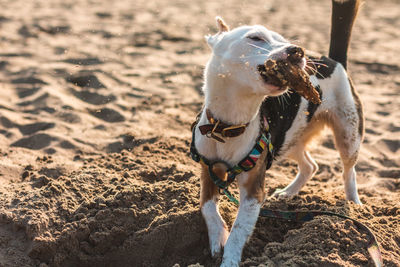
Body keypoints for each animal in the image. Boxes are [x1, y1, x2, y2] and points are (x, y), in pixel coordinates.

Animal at [192, 0, 364, 266]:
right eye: (256, 37)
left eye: (283, 40)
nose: (297, 51)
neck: (228, 126)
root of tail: (332, 60)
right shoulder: (208, 172)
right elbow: (207, 208)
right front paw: (217, 237)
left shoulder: (253, 192)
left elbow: (238, 232)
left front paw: (229, 258)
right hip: (288, 140)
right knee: (310, 166)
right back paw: (287, 193)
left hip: (348, 134)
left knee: (349, 172)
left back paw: (354, 205)